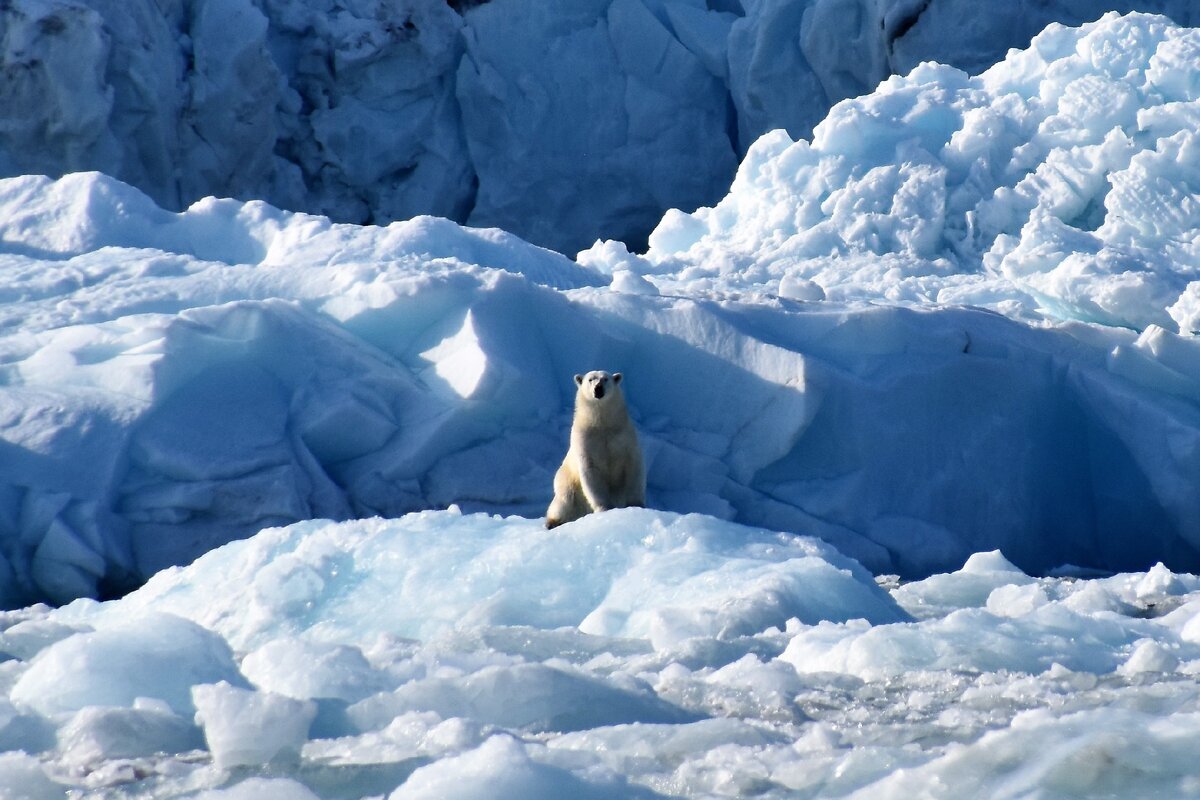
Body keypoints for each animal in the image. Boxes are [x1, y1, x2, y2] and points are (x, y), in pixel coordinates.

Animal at [547, 371, 648, 532]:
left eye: (605, 379)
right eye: (590, 379)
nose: (598, 388)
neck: (601, 423)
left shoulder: (624, 437)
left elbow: (633, 466)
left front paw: (636, 505)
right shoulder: (586, 440)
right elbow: (591, 472)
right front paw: (604, 508)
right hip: (566, 481)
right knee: (565, 501)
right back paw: (553, 522)